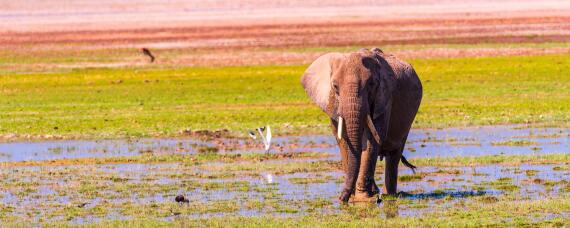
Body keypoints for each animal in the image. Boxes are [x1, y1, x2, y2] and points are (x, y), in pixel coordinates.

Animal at [300, 47, 420, 202]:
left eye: (371, 85)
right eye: (335, 86)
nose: (341, 199)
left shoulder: (385, 99)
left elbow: (371, 141)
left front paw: (362, 198)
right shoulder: (332, 104)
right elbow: (343, 141)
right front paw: (355, 196)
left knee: (395, 154)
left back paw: (389, 194)